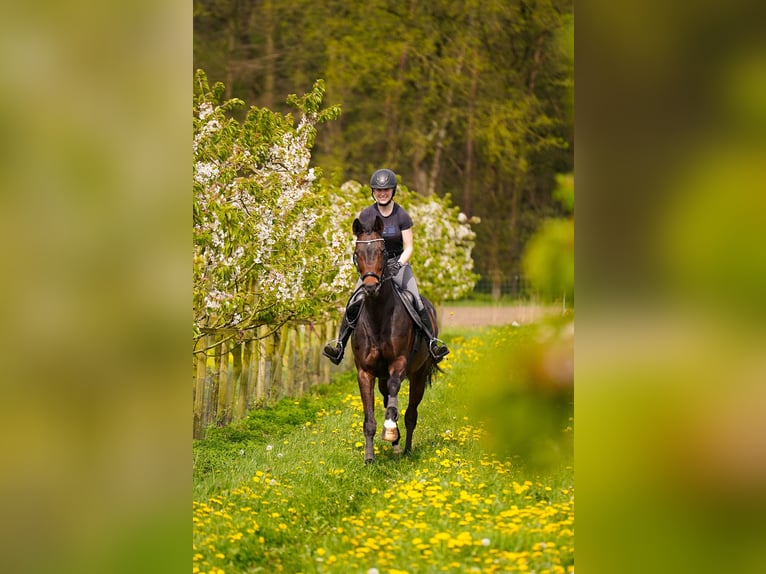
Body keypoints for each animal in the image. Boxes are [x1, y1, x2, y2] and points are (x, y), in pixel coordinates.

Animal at [352, 215, 440, 464]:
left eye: (382, 251)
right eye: (357, 252)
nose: (371, 287)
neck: (378, 316)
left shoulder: (399, 364)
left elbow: (394, 392)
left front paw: (390, 430)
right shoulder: (365, 372)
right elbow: (369, 419)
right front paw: (369, 458)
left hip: (419, 374)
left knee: (411, 413)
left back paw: (406, 447)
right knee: (387, 398)